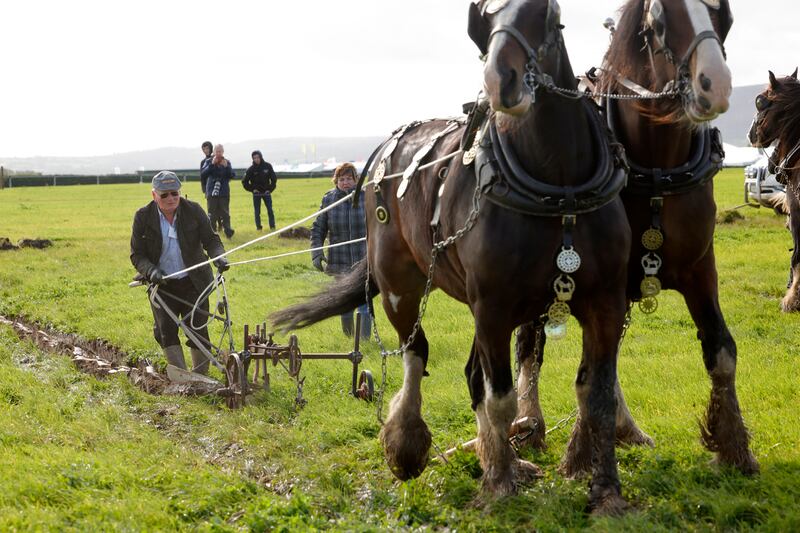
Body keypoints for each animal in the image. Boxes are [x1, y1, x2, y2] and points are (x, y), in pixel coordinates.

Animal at [273, 0, 634, 514]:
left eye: (548, 14)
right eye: (481, 23)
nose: (502, 81)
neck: (558, 187)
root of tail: (386, 148)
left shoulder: (605, 302)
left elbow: (597, 394)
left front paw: (605, 490)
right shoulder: (494, 308)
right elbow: (500, 398)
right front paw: (499, 484)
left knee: (470, 375)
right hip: (399, 286)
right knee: (416, 352)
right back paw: (407, 443)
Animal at [514, 0, 759, 477]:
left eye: (724, 17)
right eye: (658, 22)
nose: (715, 85)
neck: (657, 167)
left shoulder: (700, 270)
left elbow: (721, 351)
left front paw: (734, 447)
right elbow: (588, 370)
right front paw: (579, 454)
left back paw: (625, 428)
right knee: (530, 345)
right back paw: (529, 422)